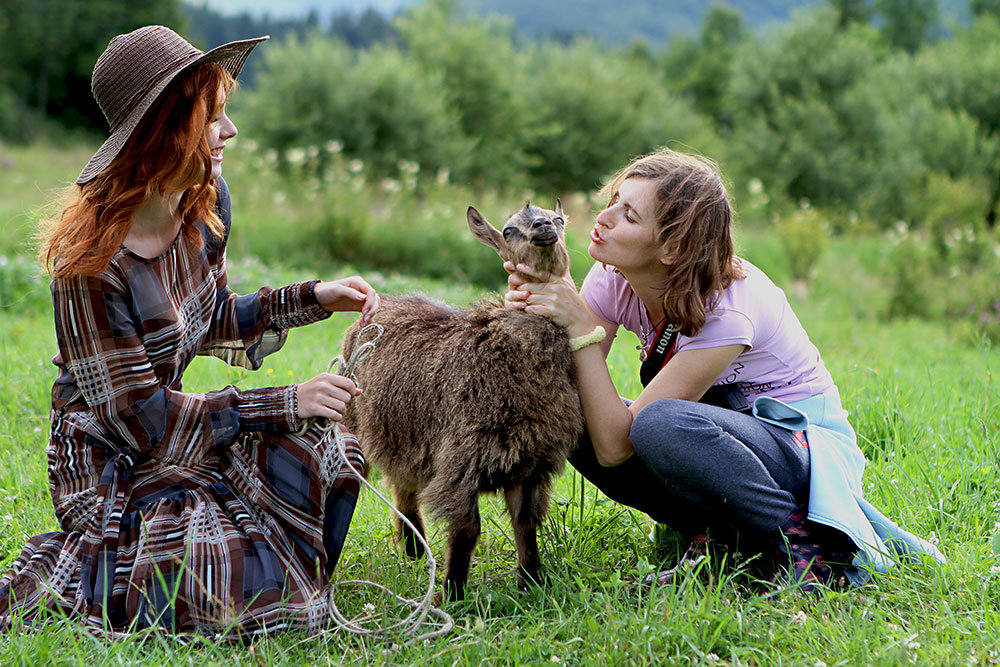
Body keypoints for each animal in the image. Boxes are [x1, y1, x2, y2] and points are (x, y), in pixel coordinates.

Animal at [342, 201, 584, 604]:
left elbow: (525, 524)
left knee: (403, 486)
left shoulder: (531, 464)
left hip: (406, 438)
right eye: (508, 230)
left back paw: (415, 551)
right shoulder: (461, 461)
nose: (543, 227)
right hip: (353, 421)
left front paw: (532, 583)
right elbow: (468, 529)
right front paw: (453, 593)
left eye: (560, 218)